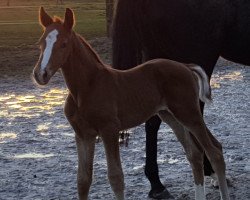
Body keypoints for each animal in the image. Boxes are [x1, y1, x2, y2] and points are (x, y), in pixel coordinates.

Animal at [33, 7, 230, 200]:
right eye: (41, 42)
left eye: (64, 43)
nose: (40, 74)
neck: (86, 88)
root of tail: (186, 66)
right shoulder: (82, 134)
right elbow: (83, 180)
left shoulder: (109, 130)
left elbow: (116, 178)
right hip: (171, 116)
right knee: (195, 153)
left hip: (189, 113)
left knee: (214, 151)